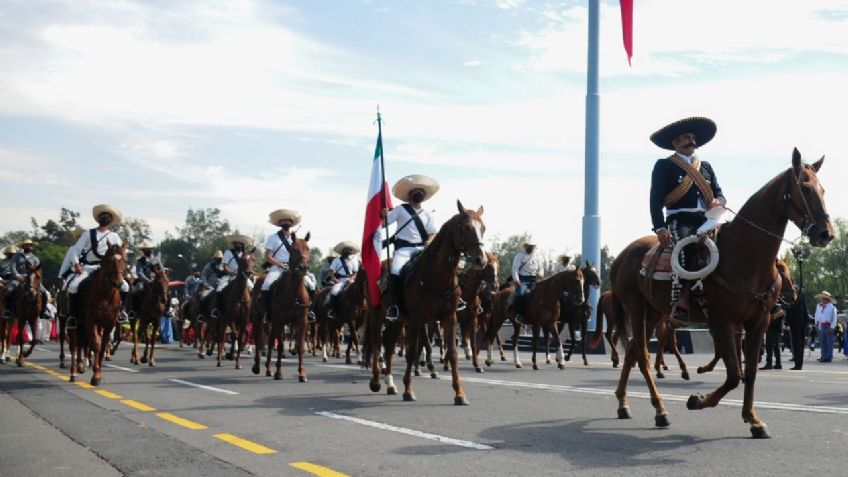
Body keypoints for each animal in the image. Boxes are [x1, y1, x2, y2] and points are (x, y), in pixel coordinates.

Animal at [69, 244, 127, 384]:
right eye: (109, 260)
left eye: (125, 260)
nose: (118, 283)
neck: (106, 296)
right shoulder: (92, 322)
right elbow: (96, 344)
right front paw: (95, 376)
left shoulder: (109, 325)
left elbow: (103, 345)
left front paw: (98, 373)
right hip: (75, 324)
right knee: (74, 345)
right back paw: (74, 372)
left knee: (82, 343)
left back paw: (81, 365)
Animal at [260, 232, 314, 382]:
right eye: (294, 249)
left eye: (308, 249)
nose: (303, 268)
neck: (294, 293)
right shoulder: (279, 320)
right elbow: (279, 346)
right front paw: (278, 373)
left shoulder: (302, 321)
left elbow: (300, 347)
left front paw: (302, 373)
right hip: (273, 322)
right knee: (271, 341)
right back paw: (268, 368)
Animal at [608, 148, 836, 436]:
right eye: (805, 188)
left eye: (823, 189)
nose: (825, 234)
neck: (746, 256)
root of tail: (622, 256)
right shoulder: (722, 321)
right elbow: (734, 374)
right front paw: (697, 400)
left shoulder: (758, 323)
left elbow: (749, 372)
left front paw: (753, 420)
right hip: (636, 308)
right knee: (643, 357)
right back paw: (660, 410)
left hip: (654, 312)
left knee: (633, 351)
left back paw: (623, 404)